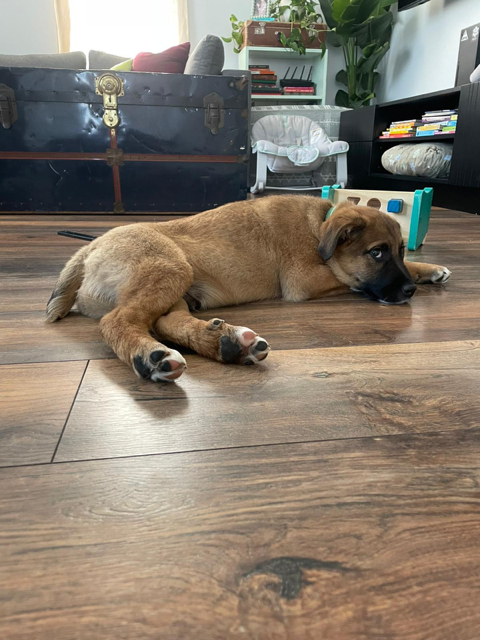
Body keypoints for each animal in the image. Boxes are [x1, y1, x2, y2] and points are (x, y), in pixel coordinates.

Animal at [47, 195, 451, 382]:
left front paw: (429, 269)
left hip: (176, 286)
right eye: (377, 253)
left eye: (400, 250)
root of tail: (89, 249)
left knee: (164, 322)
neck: (319, 225)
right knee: (117, 322)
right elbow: (347, 278)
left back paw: (226, 343)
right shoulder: (303, 281)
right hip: (170, 268)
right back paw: (149, 357)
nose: (410, 292)